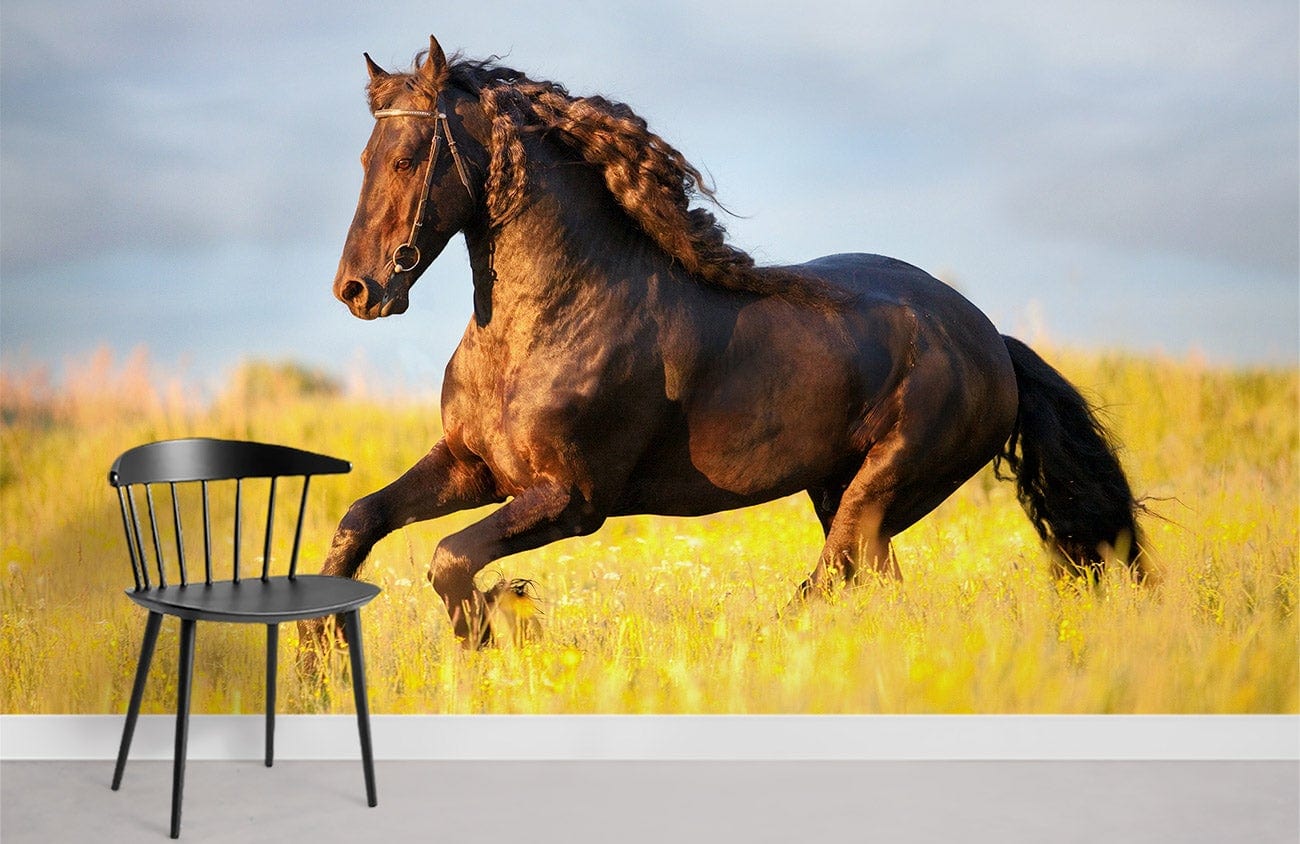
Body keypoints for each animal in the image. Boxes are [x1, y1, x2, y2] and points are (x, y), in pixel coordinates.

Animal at [300, 35, 1146, 650]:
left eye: (408, 158)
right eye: (365, 160)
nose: (357, 290)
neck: (542, 326)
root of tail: (991, 341)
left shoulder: (573, 499)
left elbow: (449, 560)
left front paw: (501, 625)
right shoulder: (473, 466)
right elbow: (360, 521)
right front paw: (320, 661)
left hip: (883, 487)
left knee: (830, 578)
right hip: (843, 493)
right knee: (873, 585)